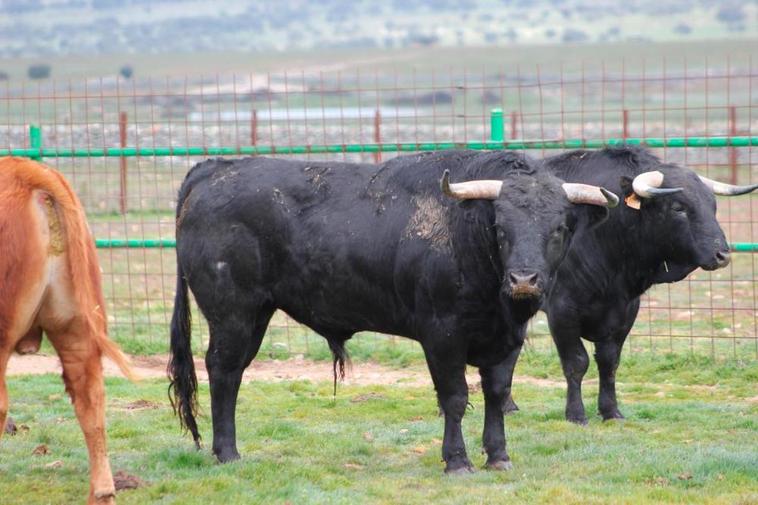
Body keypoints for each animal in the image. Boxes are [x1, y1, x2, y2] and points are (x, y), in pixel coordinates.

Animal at [168, 150, 616, 472]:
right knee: (223, 372)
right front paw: (457, 460)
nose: (524, 280)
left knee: (232, 373)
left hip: (256, 313)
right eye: (501, 228)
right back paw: (227, 452)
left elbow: (496, 393)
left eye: (558, 228)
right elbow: (455, 398)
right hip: (233, 313)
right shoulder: (441, 336)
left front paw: (498, 456)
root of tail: (214, 169)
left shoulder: (508, 339)